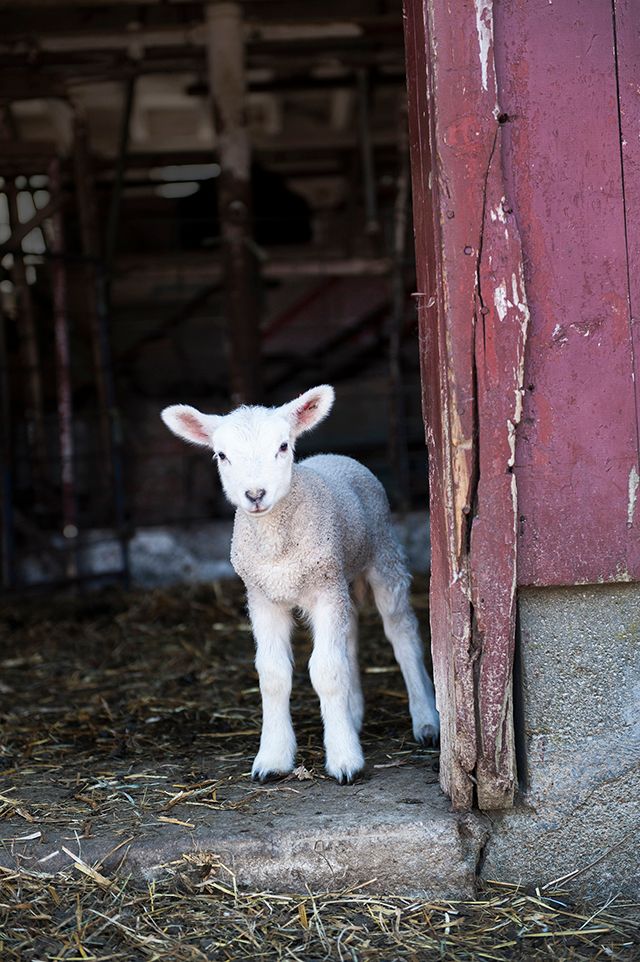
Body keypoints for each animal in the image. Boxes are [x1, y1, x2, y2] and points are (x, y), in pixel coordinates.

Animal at [161, 385, 439, 784]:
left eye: (282, 446)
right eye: (222, 455)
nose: (255, 494)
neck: (277, 544)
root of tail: (334, 456)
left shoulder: (324, 591)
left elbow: (326, 671)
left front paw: (344, 759)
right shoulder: (262, 597)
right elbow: (273, 674)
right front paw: (273, 758)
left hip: (384, 556)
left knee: (403, 634)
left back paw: (426, 720)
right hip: (339, 577)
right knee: (349, 639)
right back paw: (352, 714)